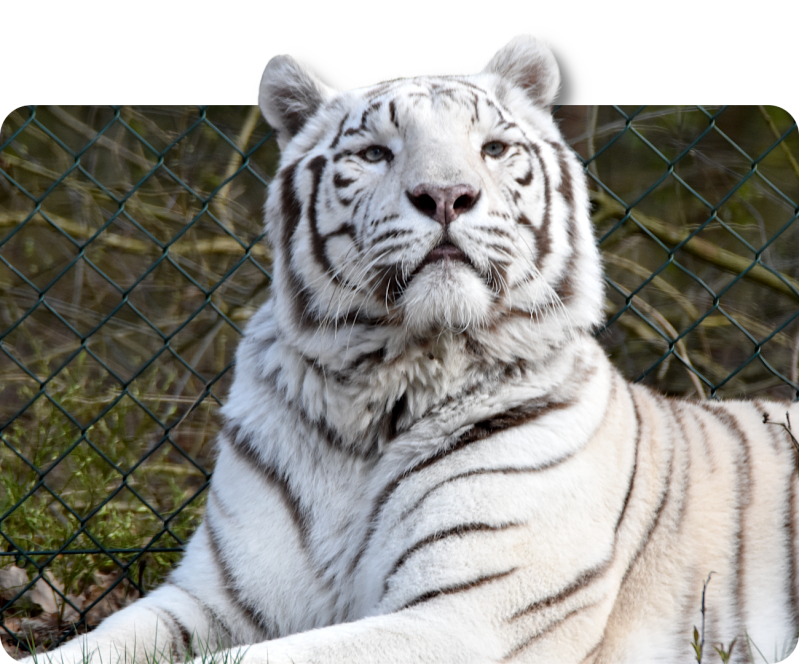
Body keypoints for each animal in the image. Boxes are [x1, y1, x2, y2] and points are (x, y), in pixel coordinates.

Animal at [14, 32, 799, 664]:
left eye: (492, 148)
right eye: (374, 153)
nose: (445, 195)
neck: (376, 391)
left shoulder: (465, 613)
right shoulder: (217, 596)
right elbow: (99, 644)